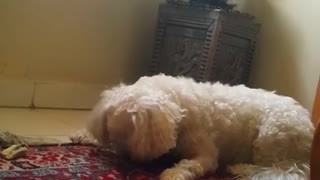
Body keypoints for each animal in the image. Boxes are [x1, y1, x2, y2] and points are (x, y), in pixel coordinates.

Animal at [79, 74, 314, 179]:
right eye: (115, 138)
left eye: (130, 139)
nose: (126, 158)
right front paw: (82, 136)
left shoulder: (206, 155)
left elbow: (188, 165)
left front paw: (171, 174)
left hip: (270, 136)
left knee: (283, 171)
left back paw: (240, 168)